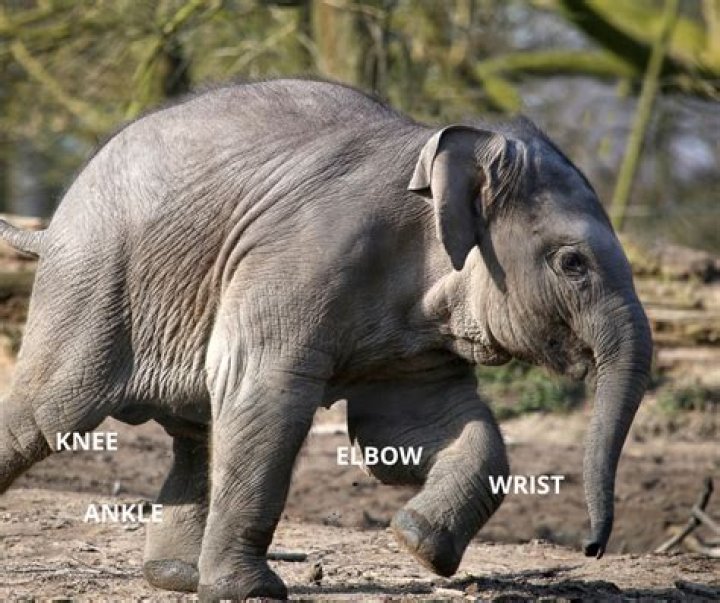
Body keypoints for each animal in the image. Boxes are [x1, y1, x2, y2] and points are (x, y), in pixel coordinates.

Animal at [0, 79, 652, 600]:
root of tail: (52, 223)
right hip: (93, 284)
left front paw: (417, 543)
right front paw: (255, 594)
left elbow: (412, 431)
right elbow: (269, 394)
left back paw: (177, 579)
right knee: (52, 412)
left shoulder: (416, 337)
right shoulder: (302, 260)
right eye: (573, 264)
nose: (592, 548)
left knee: (195, 432)